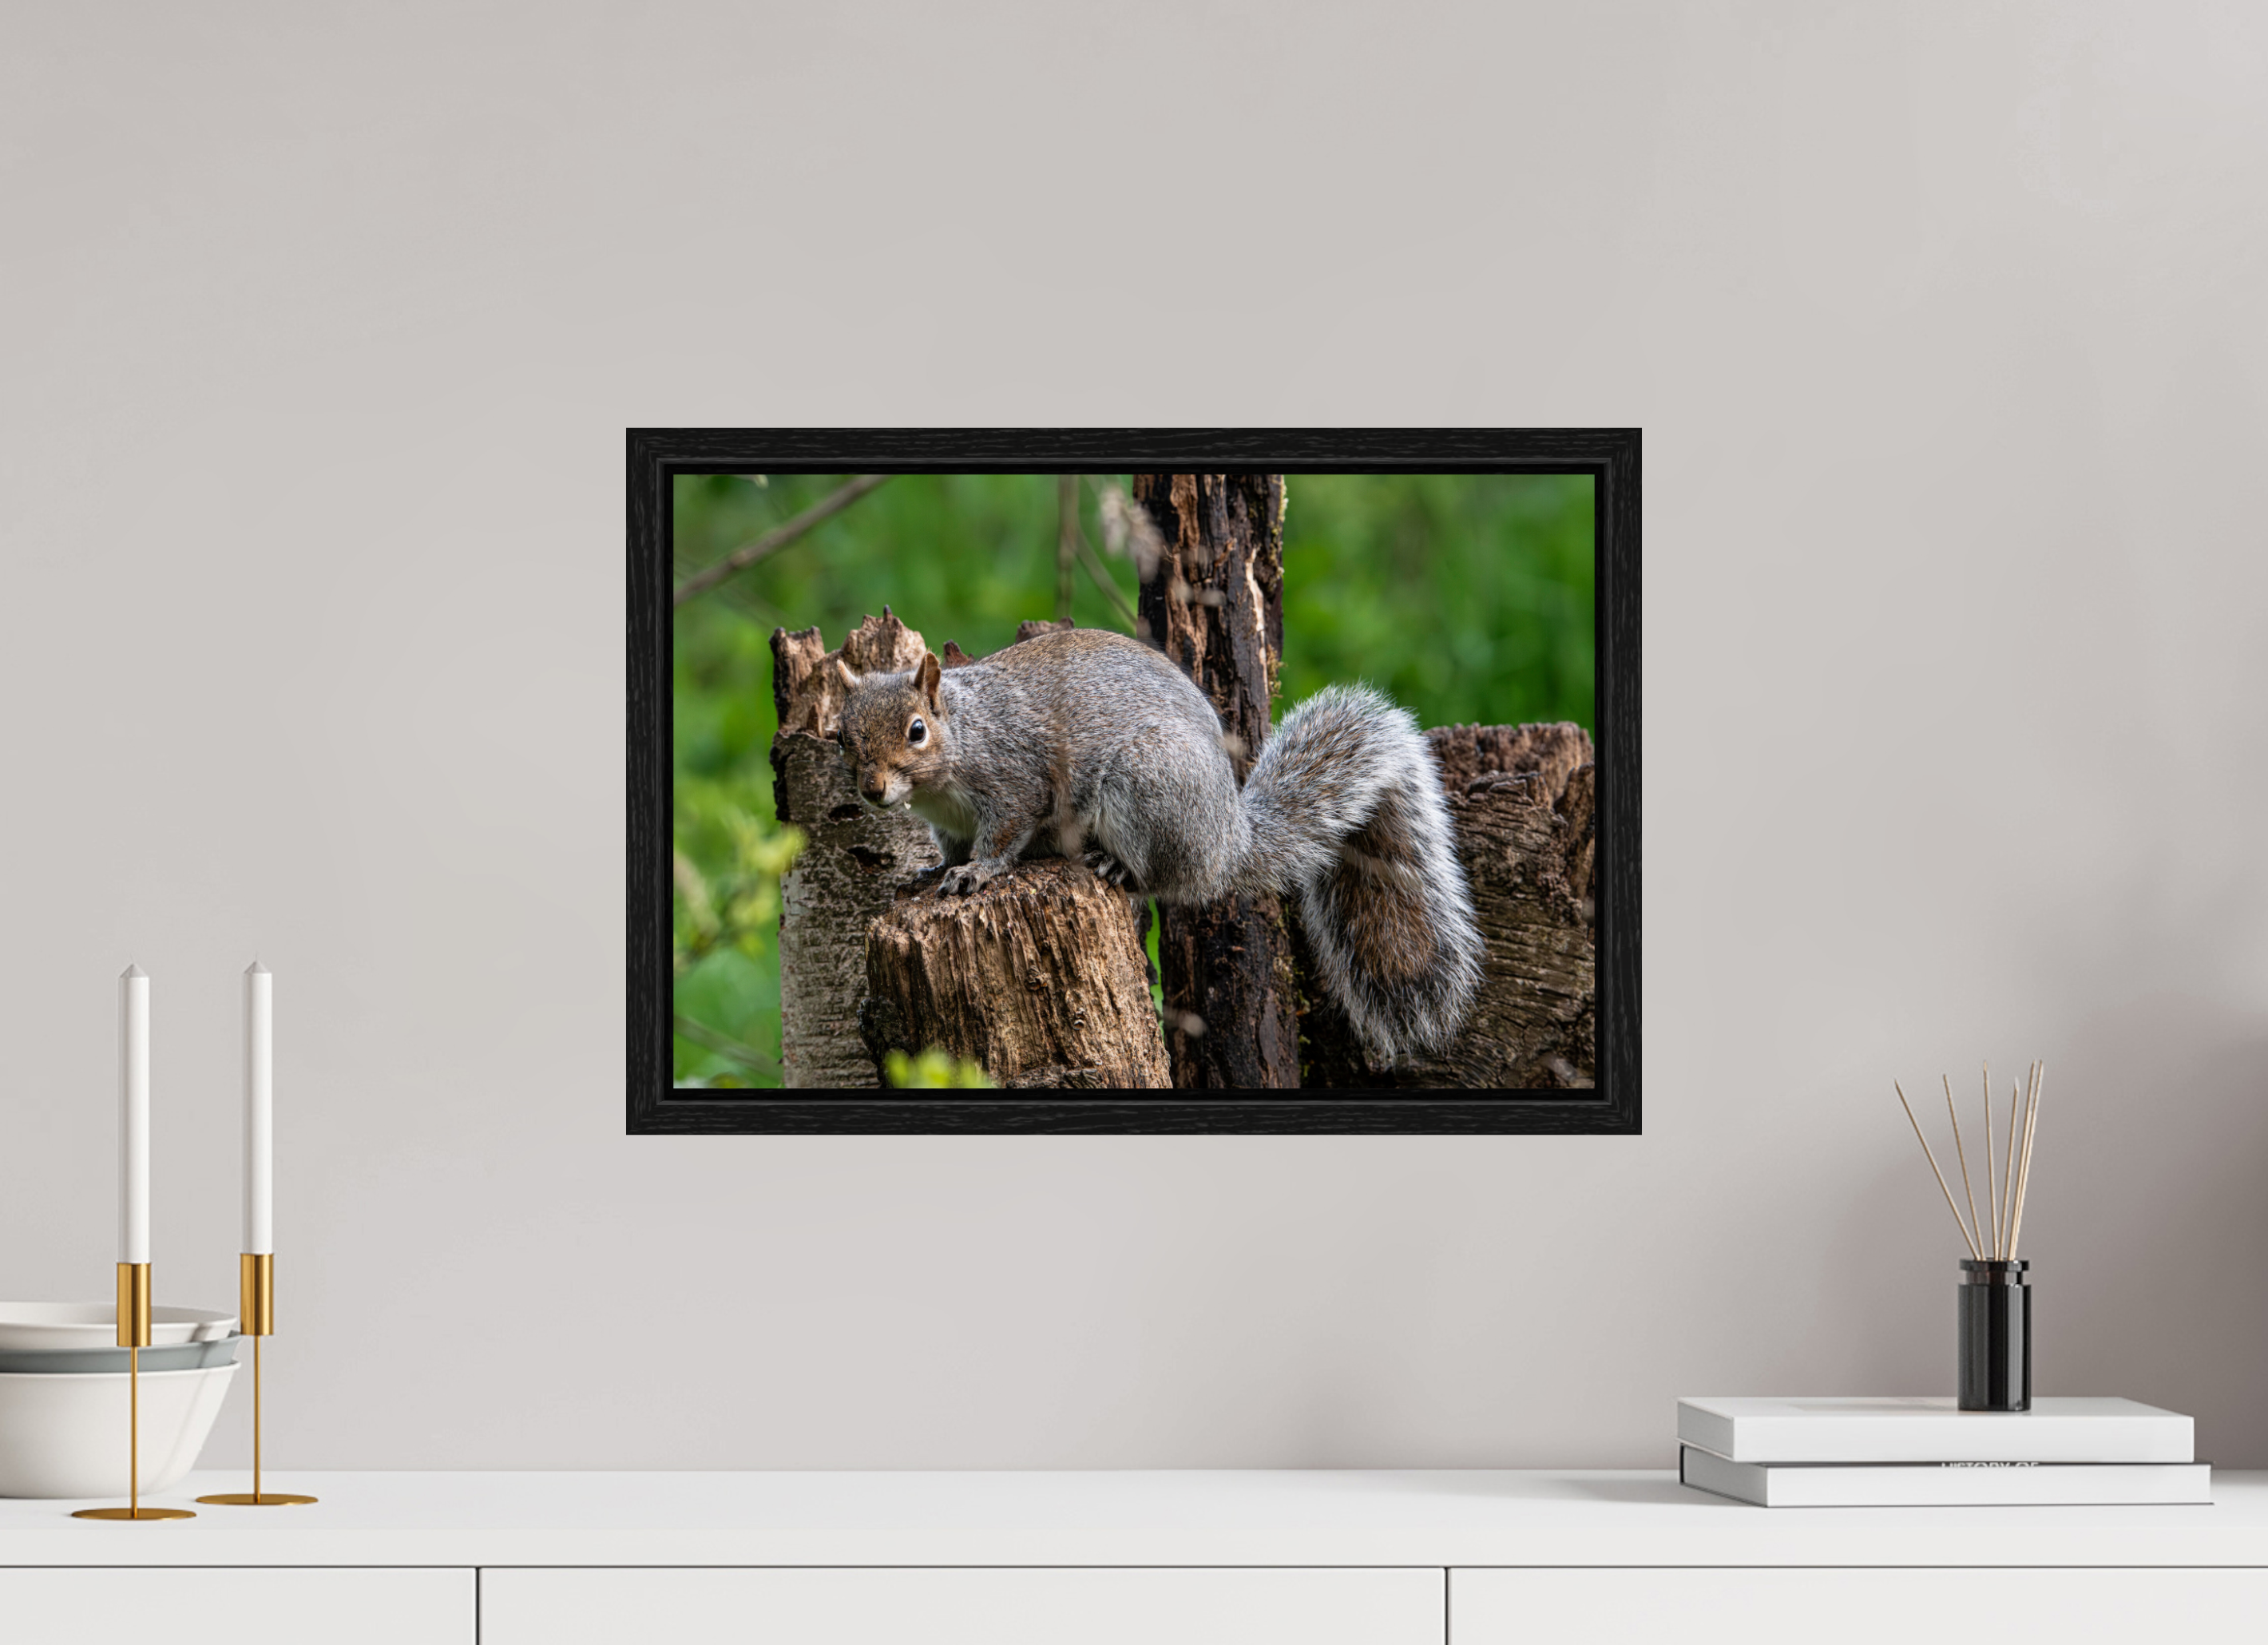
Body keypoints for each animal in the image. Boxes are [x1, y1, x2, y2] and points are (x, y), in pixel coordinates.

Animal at [832, 626, 1484, 1063]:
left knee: (1163, 877)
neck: (963, 738)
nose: (872, 790)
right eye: (840, 736)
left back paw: (1116, 867)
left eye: (917, 730)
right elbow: (948, 850)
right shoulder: (948, 824)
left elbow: (1004, 836)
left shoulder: (1015, 783)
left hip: (1148, 788)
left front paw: (978, 873)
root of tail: (1228, 842)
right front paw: (928, 874)